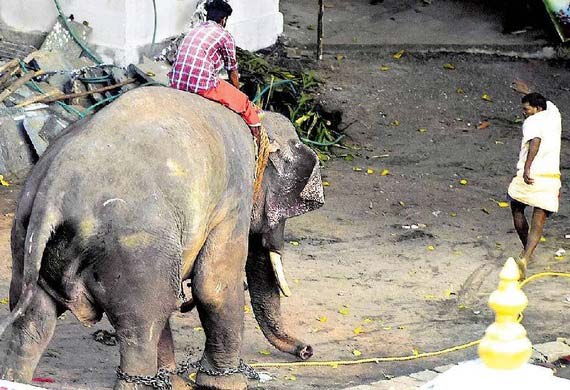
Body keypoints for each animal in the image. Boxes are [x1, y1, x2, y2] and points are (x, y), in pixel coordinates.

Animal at [0, 87, 322, 388]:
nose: (307, 350)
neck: (256, 122)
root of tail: (53, 190)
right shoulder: (233, 200)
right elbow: (214, 286)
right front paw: (226, 384)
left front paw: (174, 382)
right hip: (134, 248)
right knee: (142, 325)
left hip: (25, 237)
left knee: (33, 320)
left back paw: (17, 377)